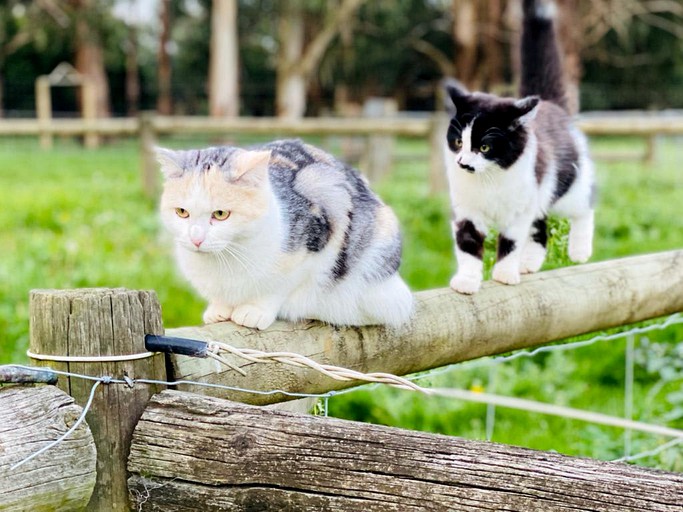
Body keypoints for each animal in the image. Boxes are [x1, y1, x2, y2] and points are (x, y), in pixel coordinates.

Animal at [157, 140, 412, 330]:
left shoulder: (315, 244)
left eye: (220, 214)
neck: (226, 260)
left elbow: (279, 287)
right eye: (182, 212)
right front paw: (218, 310)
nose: (196, 239)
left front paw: (254, 311)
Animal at [446, 0, 596, 294]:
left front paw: (504, 274)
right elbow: (467, 242)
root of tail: (550, 104)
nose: (463, 163)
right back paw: (529, 263)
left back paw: (579, 251)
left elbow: (511, 241)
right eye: (458, 142)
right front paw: (467, 281)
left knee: (583, 205)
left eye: (484, 147)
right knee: (540, 224)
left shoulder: (518, 209)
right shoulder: (466, 208)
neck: (489, 180)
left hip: (565, 182)